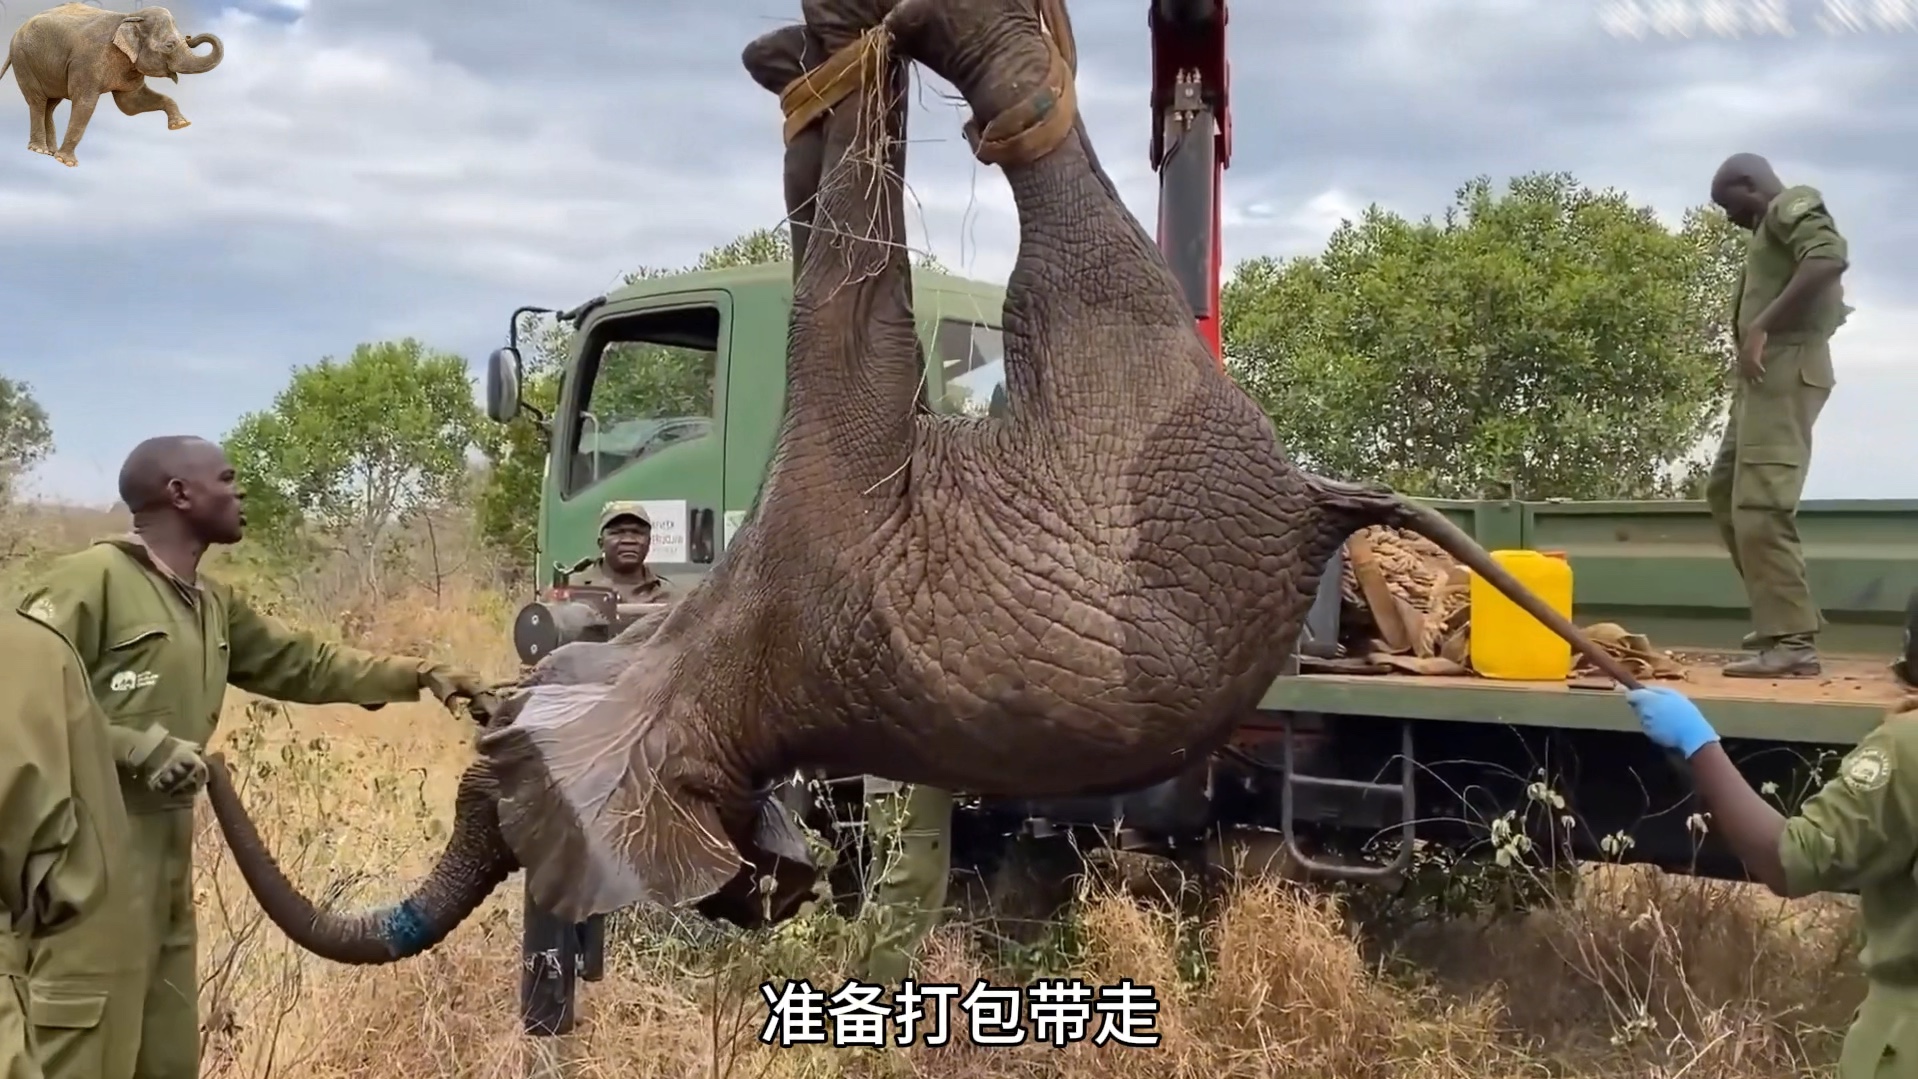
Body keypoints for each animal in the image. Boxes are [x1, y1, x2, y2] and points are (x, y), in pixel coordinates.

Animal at [2, 2, 220, 166]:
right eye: (170, 45)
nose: (191, 37)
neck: (129, 16)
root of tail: (17, 30)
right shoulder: (87, 62)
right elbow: (86, 103)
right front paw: (67, 162)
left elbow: (130, 104)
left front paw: (181, 125)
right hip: (23, 60)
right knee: (37, 100)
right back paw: (39, 150)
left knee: (51, 104)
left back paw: (50, 152)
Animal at [198, 0, 1649, 969]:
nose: (488, 685)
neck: (689, 656)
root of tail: (1316, 507)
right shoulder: (822, 543)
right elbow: (851, 309)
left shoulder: (802, 516)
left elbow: (829, 259)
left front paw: (803, 69)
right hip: (1125, 372)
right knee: (1047, 174)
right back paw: (958, 41)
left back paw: (848, 38)